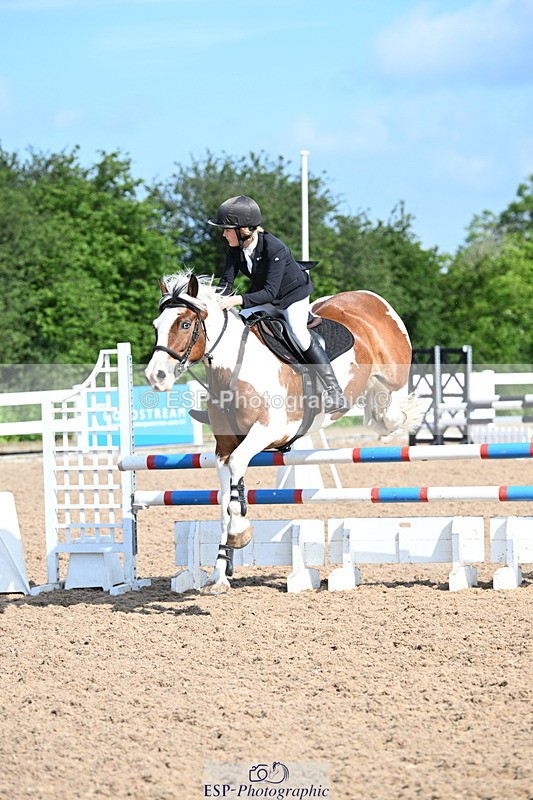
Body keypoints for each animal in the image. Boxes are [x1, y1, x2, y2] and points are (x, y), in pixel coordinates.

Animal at [145, 271, 420, 594]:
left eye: (185, 324)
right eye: (157, 326)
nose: (155, 376)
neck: (236, 369)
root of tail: (368, 296)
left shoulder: (267, 432)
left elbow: (238, 472)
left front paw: (240, 532)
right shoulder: (223, 447)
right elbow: (226, 500)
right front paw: (219, 575)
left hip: (393, 373)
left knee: (390, 406)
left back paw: (401, 416)